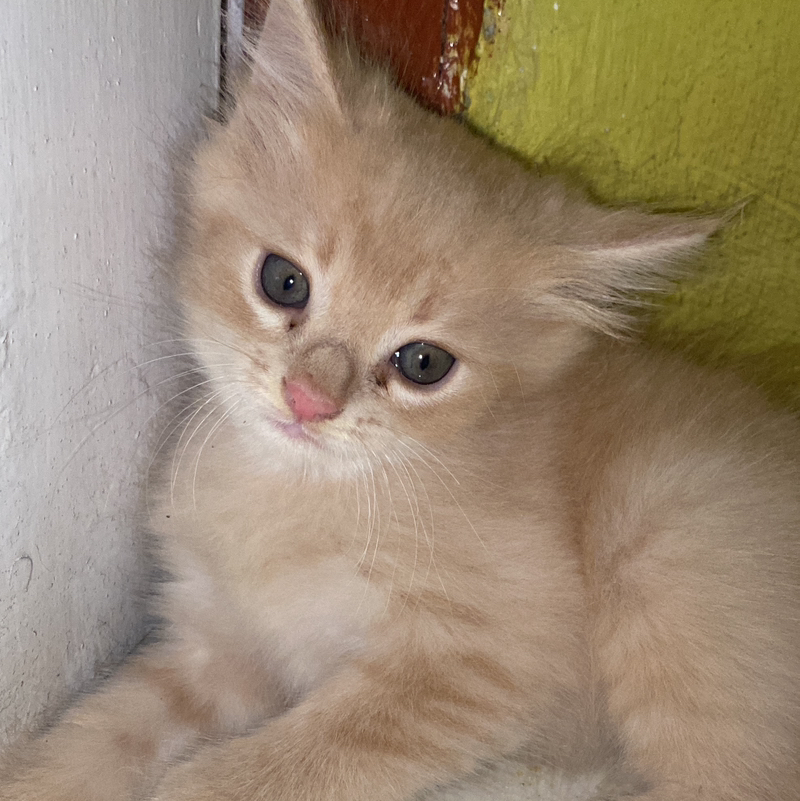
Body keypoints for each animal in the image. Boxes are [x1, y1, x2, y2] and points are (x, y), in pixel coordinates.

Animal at [1, 0, 798, 799]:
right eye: (283, 282)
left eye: (422, 363)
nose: (308, 400)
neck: (293, 494)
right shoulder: (218, 646)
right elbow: (101, 732)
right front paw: (43, 775)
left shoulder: (481, 663)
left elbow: (296, 759)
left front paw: (202, 785)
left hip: (669, 555)